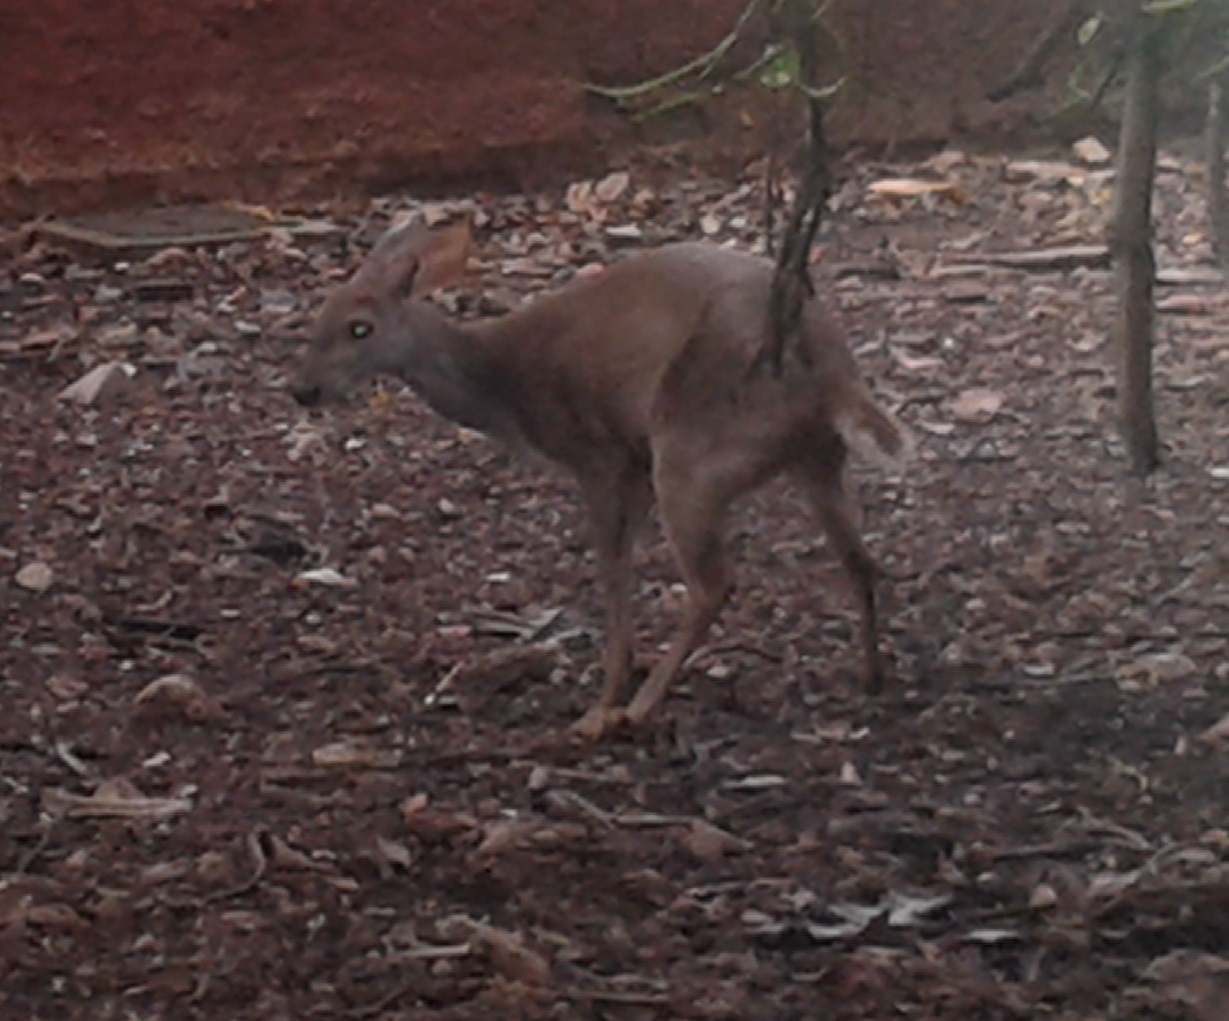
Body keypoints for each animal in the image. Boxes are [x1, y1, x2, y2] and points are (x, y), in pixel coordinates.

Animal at [289, 216, 911, 739]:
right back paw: (871, 678)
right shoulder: (630, 462)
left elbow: (612, 573)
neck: (505, 386)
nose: (303, 389)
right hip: (816, 456)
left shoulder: (602, 455)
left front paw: (607, 698)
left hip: (690, 448)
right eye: (318, 320)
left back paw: (636, 709)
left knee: (714, 582)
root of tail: (831, 371)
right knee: (860, 560)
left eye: (360, 328)